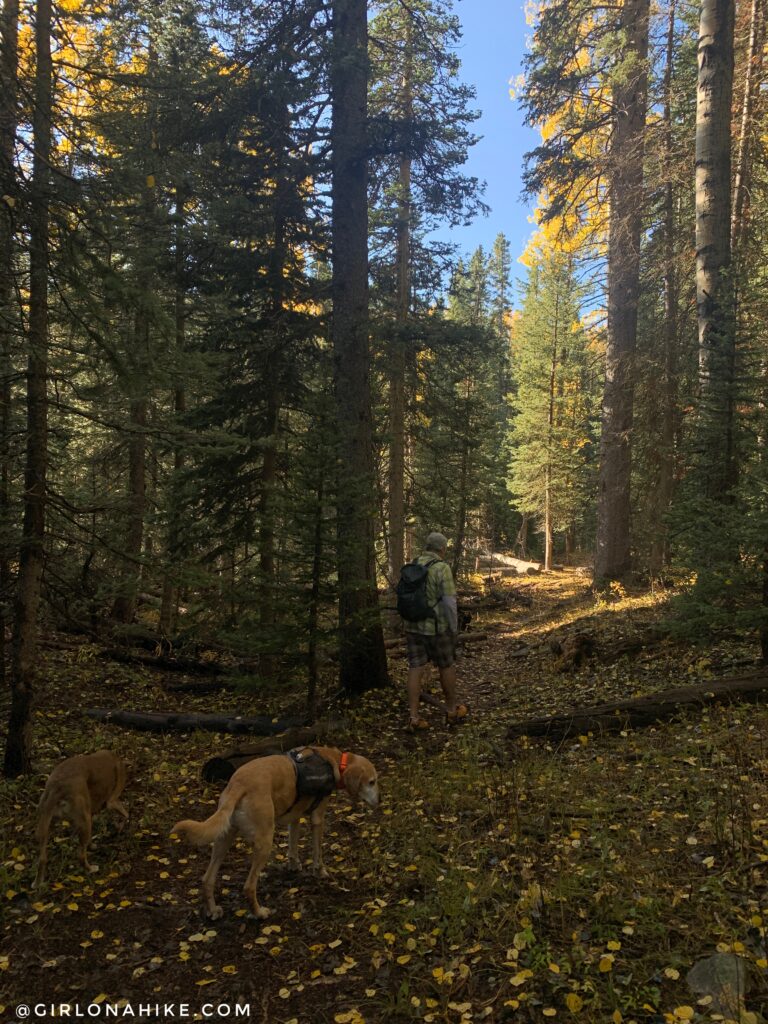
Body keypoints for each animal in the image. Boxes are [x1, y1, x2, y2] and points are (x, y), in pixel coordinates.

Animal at [33, 749, 128, 884]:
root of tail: (57, 787)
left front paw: (91, 845)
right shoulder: (112, 801)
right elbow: (126, 815)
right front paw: (119, 828)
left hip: (45, 826)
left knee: (42, 858)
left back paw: (37, 883)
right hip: (85, 821)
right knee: (81, 855)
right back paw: (91, 869)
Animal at [173, 745, 380, 921]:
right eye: (372, 782)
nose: (380, 800)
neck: (335, 760)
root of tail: (238, 785)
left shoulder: (295, 817)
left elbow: (293, 846)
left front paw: (294, 865)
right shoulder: (317, 818)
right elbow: (317, 853)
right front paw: (320, 871)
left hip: (223, 839)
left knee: (207, 879)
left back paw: (212, 911)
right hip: (264, 842)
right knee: (249, 886)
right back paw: (259, 913)